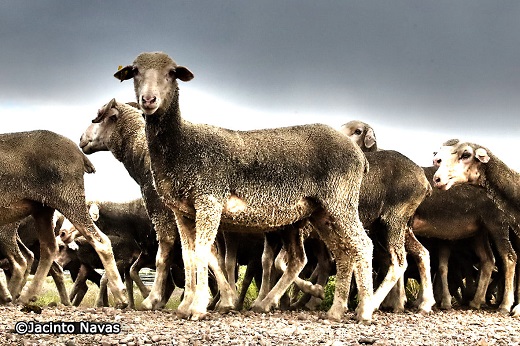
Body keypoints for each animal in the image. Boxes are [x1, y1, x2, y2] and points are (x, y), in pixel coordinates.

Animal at [0, 129, 127, 306]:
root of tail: (81, 156)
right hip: (43, 208)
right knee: (49, 248)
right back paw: (26, 295)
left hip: (69, 198)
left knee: (100, 240)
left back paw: (120, 294)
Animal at [114, 50, 374, 322]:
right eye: (135, 72)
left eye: (171, 73)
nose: (148, 99)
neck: (182, 144)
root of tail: (359, 156)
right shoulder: (182, 211)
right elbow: (188, 256)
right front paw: (186, 307)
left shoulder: (209, 200)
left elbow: (202, 253)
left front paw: (198, 307)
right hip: (321, 211)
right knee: (339, 253)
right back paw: (333, 310)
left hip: (341, 200)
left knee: (362, 245)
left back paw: (365, 309)